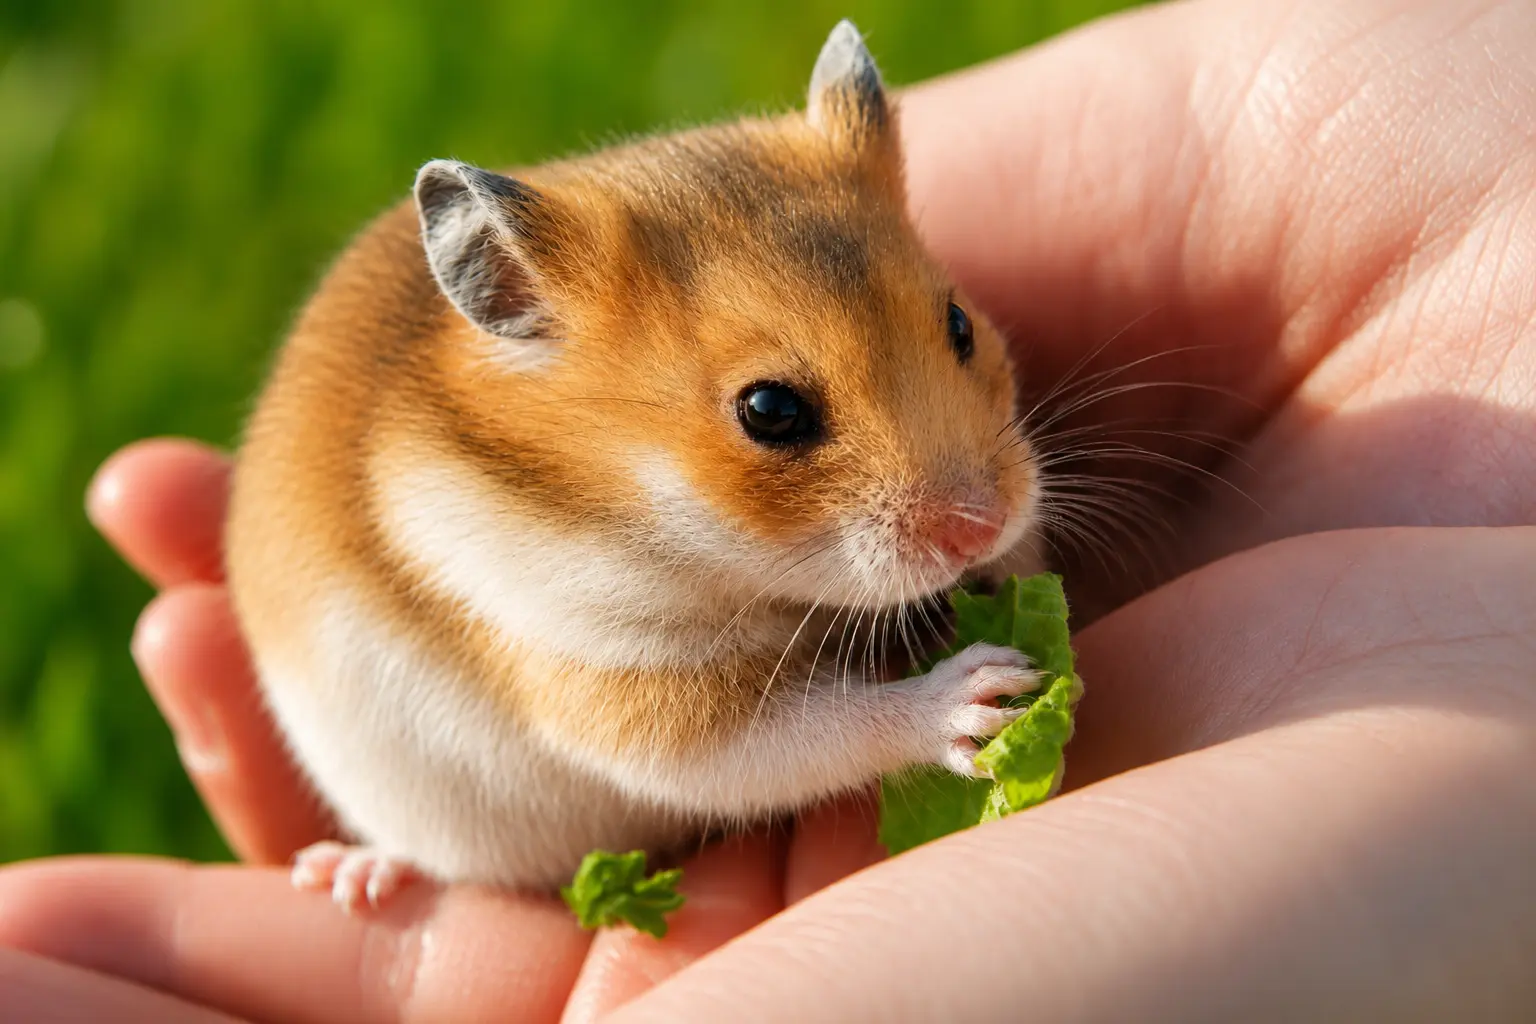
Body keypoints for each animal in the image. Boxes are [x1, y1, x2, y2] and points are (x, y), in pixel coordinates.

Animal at [225, 20, 1044, 910]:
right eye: (768, 410)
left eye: (959, 323)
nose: (983, 529)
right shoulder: (612, 669)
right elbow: (798, 733)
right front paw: (994, 692)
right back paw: (350, 878)